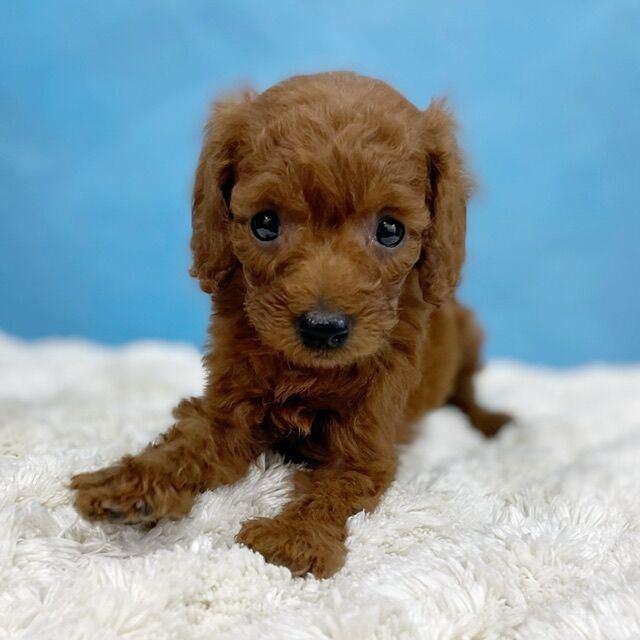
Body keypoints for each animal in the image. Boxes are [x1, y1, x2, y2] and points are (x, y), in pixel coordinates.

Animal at [71, 72, 510, 578]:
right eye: (264, 223)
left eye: (390, 230)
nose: (323, 327)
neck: (308, 372)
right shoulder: (229, 407)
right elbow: (189, 442)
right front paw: (131, 481)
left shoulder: (366, 447)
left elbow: (334, 489)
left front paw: (295, 538)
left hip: (469, 334)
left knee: (468, 393)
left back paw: (492, 421)